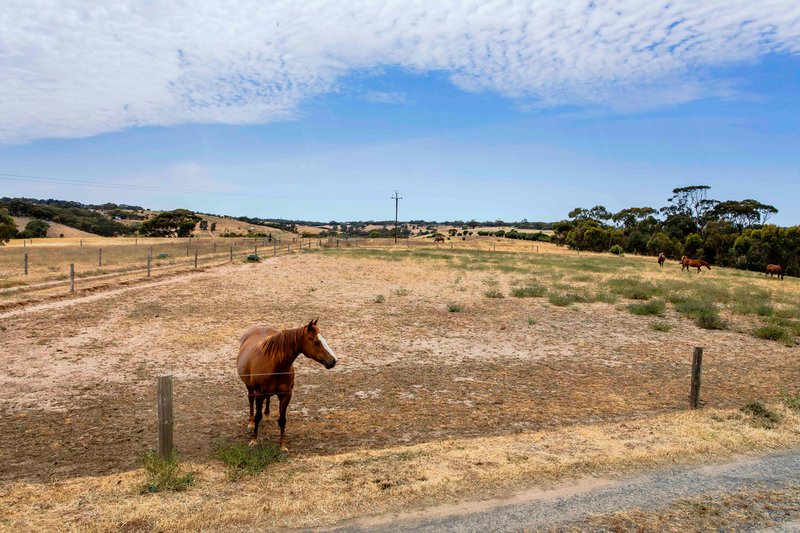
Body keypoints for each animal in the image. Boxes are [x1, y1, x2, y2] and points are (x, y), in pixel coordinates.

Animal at [238, 320, 338, 448]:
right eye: (316, 341)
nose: (334, 360)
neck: (275, 365)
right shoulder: (259, 394)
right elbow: (258, 416)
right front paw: (254, 440)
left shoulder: (286, 395)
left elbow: (282, 420)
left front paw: (282, 445)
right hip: (250, 388)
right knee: (251, 400)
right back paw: (251, 423)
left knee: (268, 399)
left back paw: (267, 416)